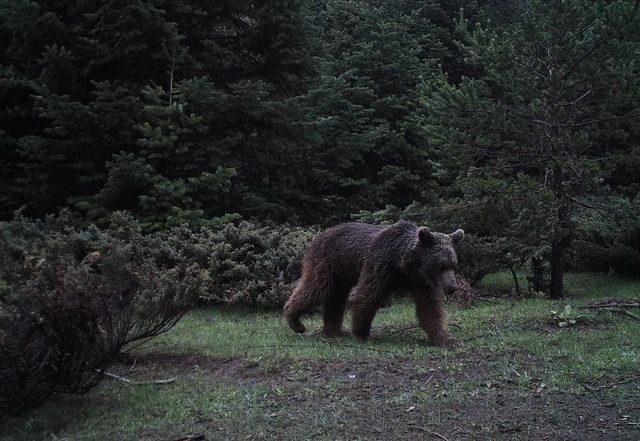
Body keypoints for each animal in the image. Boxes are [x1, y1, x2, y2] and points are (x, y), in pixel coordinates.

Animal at [282, 220, 462, 348]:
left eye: (453, 265)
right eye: (441, 266)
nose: (452, 287)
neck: (405, 265)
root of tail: (319, 235)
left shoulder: (422, 283)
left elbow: (430, 309)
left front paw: (448, 340)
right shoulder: (380, 264)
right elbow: (367, 295)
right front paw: (361, 333)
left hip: (341, 272)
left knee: (336, 299)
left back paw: (335, 331)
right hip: (327, 262)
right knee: (317, 288)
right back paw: (295, 321)